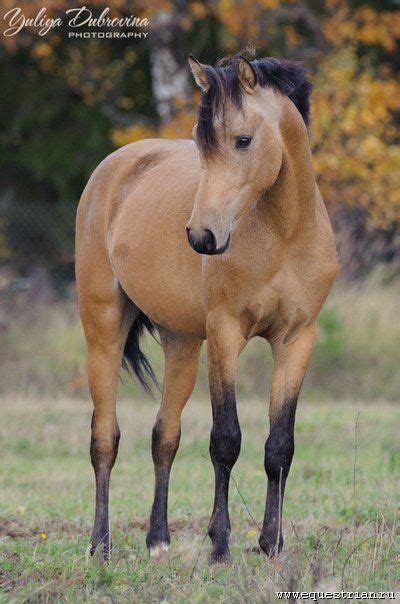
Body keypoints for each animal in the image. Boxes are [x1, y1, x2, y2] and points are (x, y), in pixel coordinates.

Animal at [74, 50, 338, 560]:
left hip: (181, 342)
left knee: (165, 435)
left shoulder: (297, 339)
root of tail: (115, 167)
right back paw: (101, 544)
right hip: (104, 328)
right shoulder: (225, 334)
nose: (202, 236)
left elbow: (280, 446)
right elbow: (226, 440)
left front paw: (271, 543)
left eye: (243, 140)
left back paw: (158, 540)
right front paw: (220, 544)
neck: (283, 235)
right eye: (201, 141)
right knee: (104, 438)